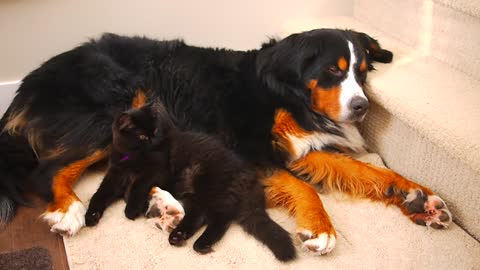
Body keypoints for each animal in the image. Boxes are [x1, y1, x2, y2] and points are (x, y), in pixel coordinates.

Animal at [86, 103, 296, 262]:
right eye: (142, 136)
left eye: (154, 131)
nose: (153, 139)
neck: (131, 158)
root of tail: (250, 179)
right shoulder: (114, 175)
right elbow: (99, 194)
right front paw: (91, 216)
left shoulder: (157, 171)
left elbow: (137, 186)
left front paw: (131, 209)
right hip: (194, 194)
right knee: (206, 217)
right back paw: (181, 236)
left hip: (207, 186)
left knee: (218, 218)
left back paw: (197, 243)